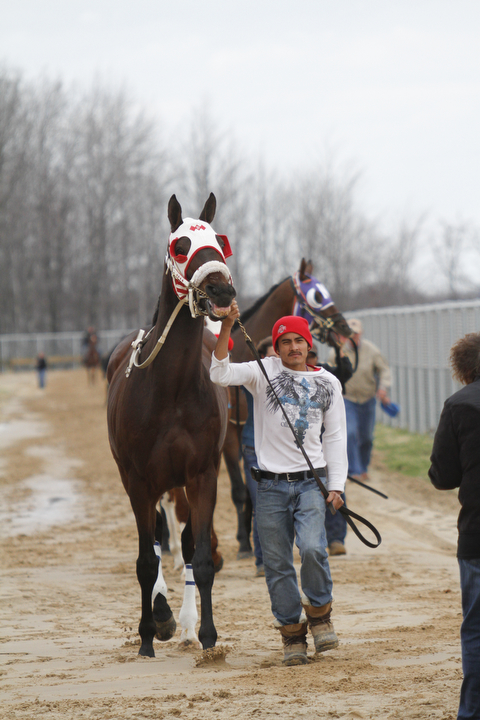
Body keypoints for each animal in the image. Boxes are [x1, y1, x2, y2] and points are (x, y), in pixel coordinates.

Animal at [107, 193, 236, 657]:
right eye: (181, 246)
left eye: (219, 242)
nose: (220, 289)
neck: (171, 390)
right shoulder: (138, 478)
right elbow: (147, 559)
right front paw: (149, 632)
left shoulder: (202, 473)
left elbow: (200, 555)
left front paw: (205, 633)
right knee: (158, 539)